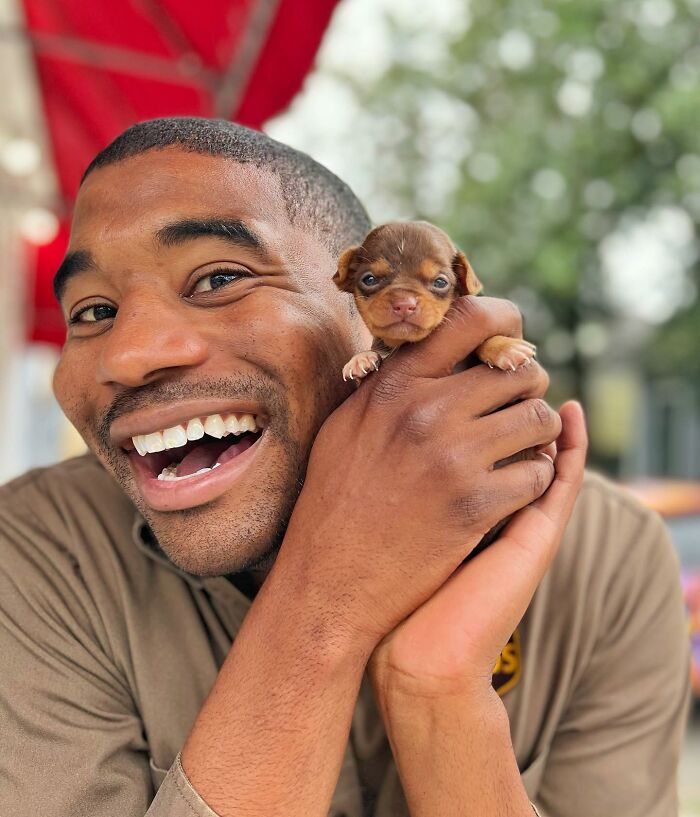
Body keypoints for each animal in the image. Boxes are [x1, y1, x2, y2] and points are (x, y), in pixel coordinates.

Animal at [334, 218, 536, 380]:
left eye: (440, 282)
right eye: (369, 280)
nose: (404, 304)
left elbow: (482, 343)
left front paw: (504, 346)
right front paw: (362, 357)